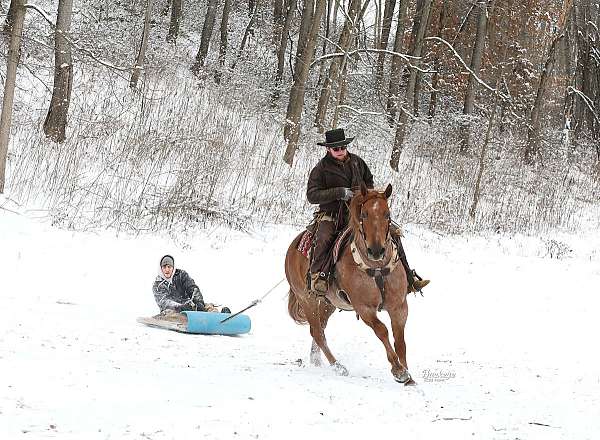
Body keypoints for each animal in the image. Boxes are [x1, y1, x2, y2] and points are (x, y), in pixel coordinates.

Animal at [284, 183, 414, 384]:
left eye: (387, 214)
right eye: (364, 214)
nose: (376, 250)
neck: (377, 268)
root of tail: (292, 248)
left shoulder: (399, 307)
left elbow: (400, 340)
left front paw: (408, 375)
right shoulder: (364, 308)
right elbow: (382, 330)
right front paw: (398, 370)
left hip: (328, 304)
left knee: (320, 329)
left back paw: (316, 360)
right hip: (307, 299)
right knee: (317, 333)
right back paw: (338, 366)